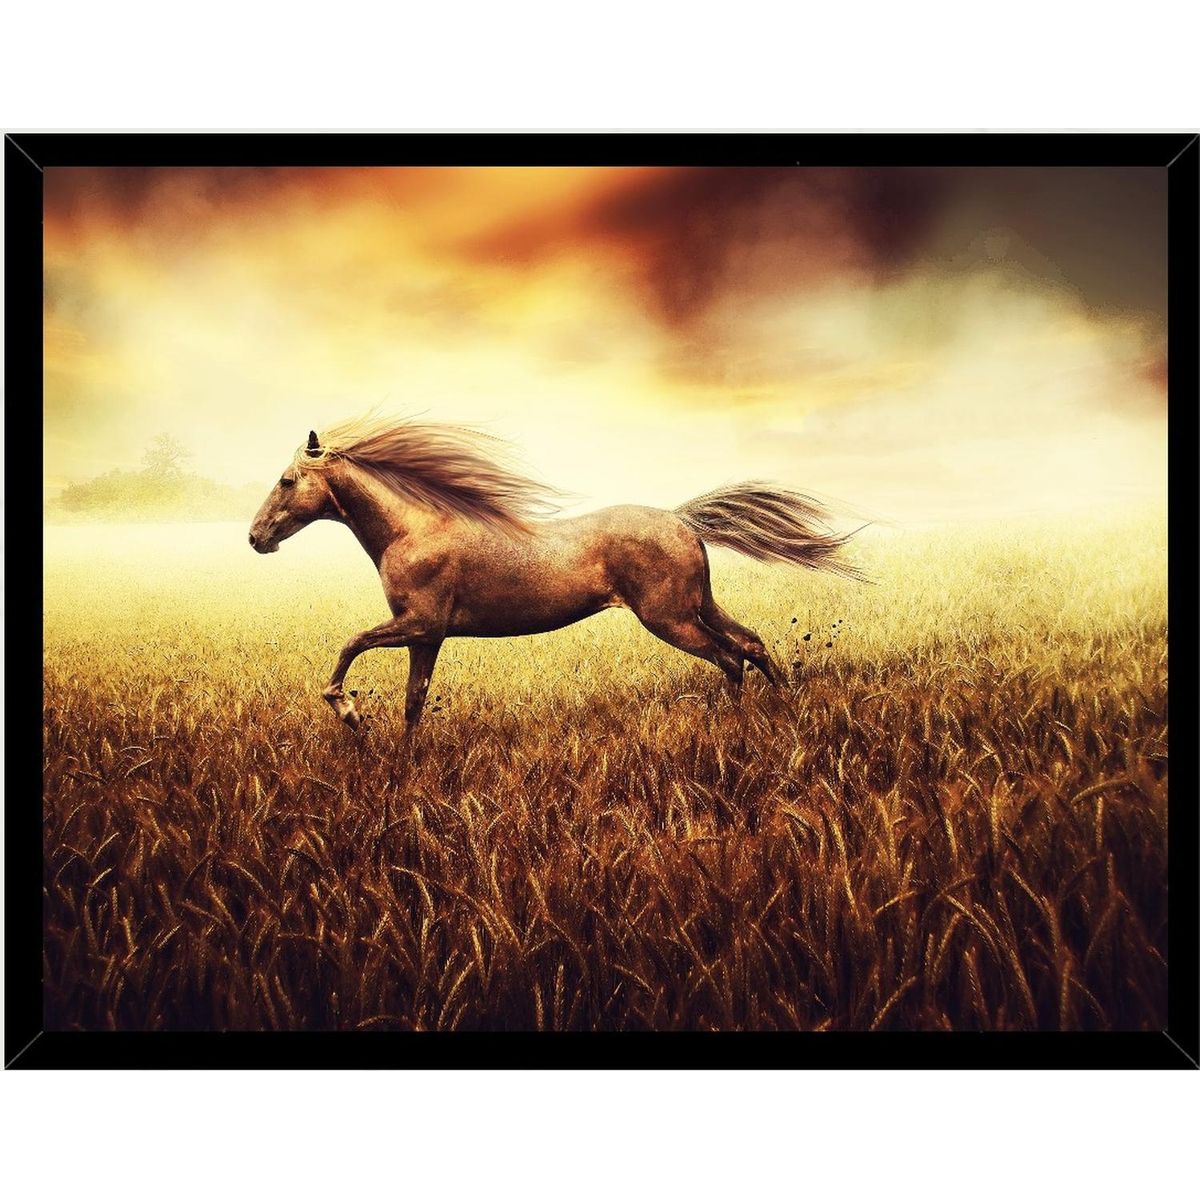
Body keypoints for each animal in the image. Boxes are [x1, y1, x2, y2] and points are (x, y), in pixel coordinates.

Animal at [248, 415, 863, 731]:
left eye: (285, 480)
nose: (256, 538)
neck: (412, 530)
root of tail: (683, 520)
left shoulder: (420, 625)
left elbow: (350, 646)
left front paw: (349, 712)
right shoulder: (427, 637)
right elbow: (413, 704)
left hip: (668, 618)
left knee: (729, 657)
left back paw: (738, 728)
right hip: (697, 605)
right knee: (752, 643)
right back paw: (784, 708)